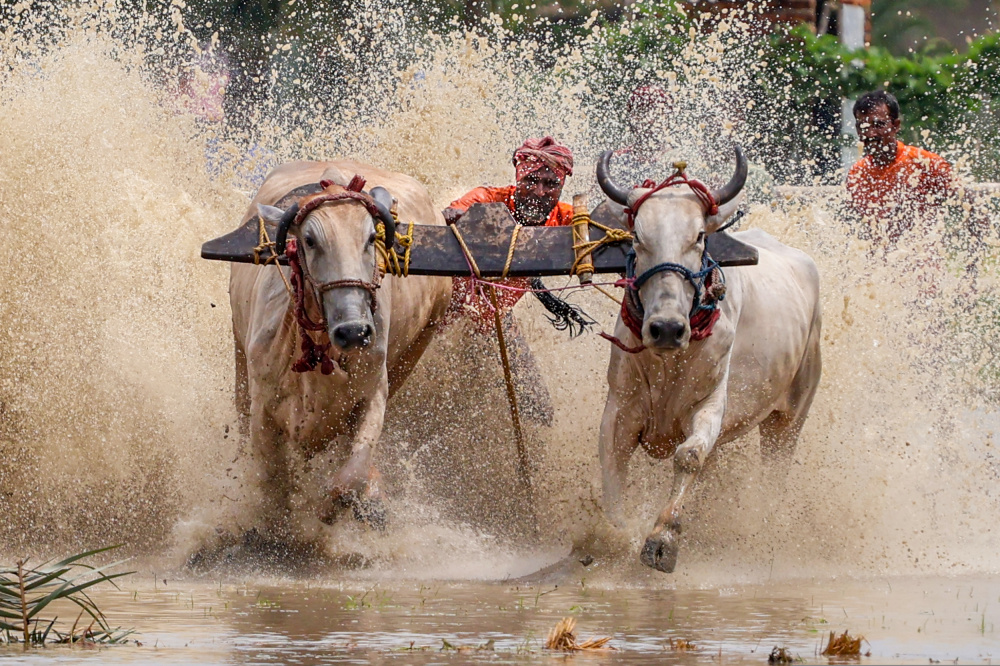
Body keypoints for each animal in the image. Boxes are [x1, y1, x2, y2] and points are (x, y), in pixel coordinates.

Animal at [230, 160, 451, 539]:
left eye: (371, 238)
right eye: (309, 240)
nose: (353, 331)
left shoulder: (373, 394)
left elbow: (350, 478)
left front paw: (329, 512)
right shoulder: (263, 402)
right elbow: (273, 482)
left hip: (417, 347)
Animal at [594, 148, 822, 573]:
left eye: (699, 236)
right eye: (638, 236)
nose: (667, 328)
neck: (668, 363)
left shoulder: (711, 404)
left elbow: (689, 457)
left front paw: (662, 539)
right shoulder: (620, 408)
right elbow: (613, 466)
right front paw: (614, 537)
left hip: (791, 415)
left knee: (775, 469)